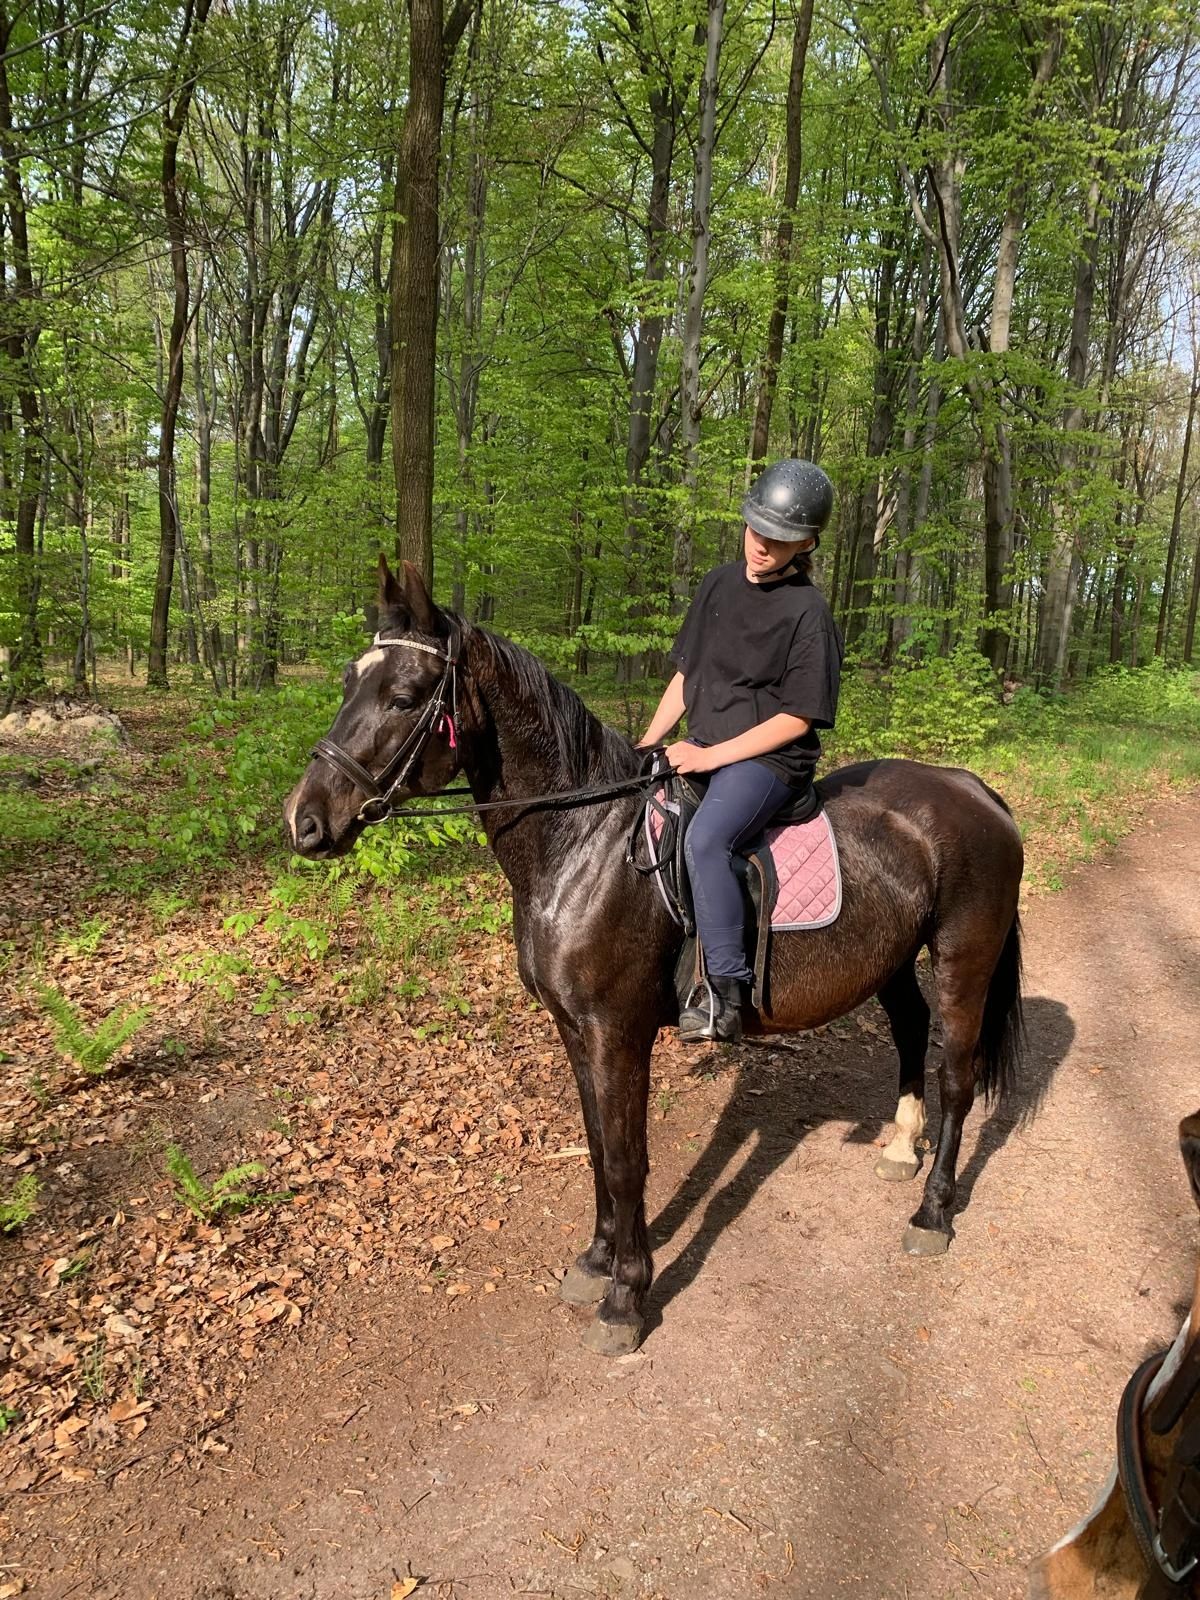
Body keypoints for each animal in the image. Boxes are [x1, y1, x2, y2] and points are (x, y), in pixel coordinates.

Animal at [281, 563, 1024, 1350]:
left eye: (403, 696)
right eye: (347, 682)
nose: (304, 821)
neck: (584, 842)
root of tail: (972, 788)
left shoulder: (618, 1032)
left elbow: (627, 1159)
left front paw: (626, 1298)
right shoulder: (575, 1030)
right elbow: (597, 1148)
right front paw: (595, 1260)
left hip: (964, 957)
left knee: (957, 1078)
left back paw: (933, 1212)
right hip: (893, 959)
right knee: (912, 1030)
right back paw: (900, 1150)